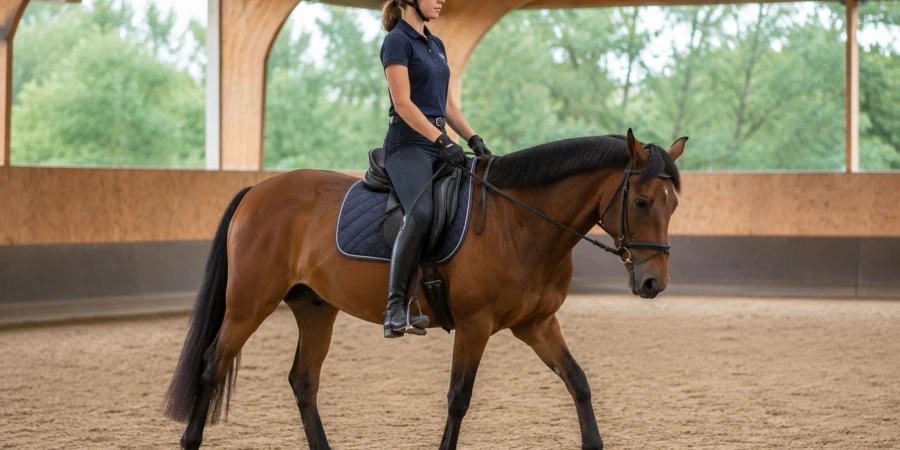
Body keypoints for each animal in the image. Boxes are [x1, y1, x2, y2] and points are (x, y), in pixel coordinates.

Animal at [163, 129, 687, 450]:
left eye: (674, 203)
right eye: (641, 201)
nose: (653, 282)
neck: (519, 223)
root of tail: (256, 191)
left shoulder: (537, 324)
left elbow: (578, 381)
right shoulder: (475, 326)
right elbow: (459, 398)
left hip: (315, 309)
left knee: (303, 381)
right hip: (248, 305)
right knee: (211, 365)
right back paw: (191, 440)